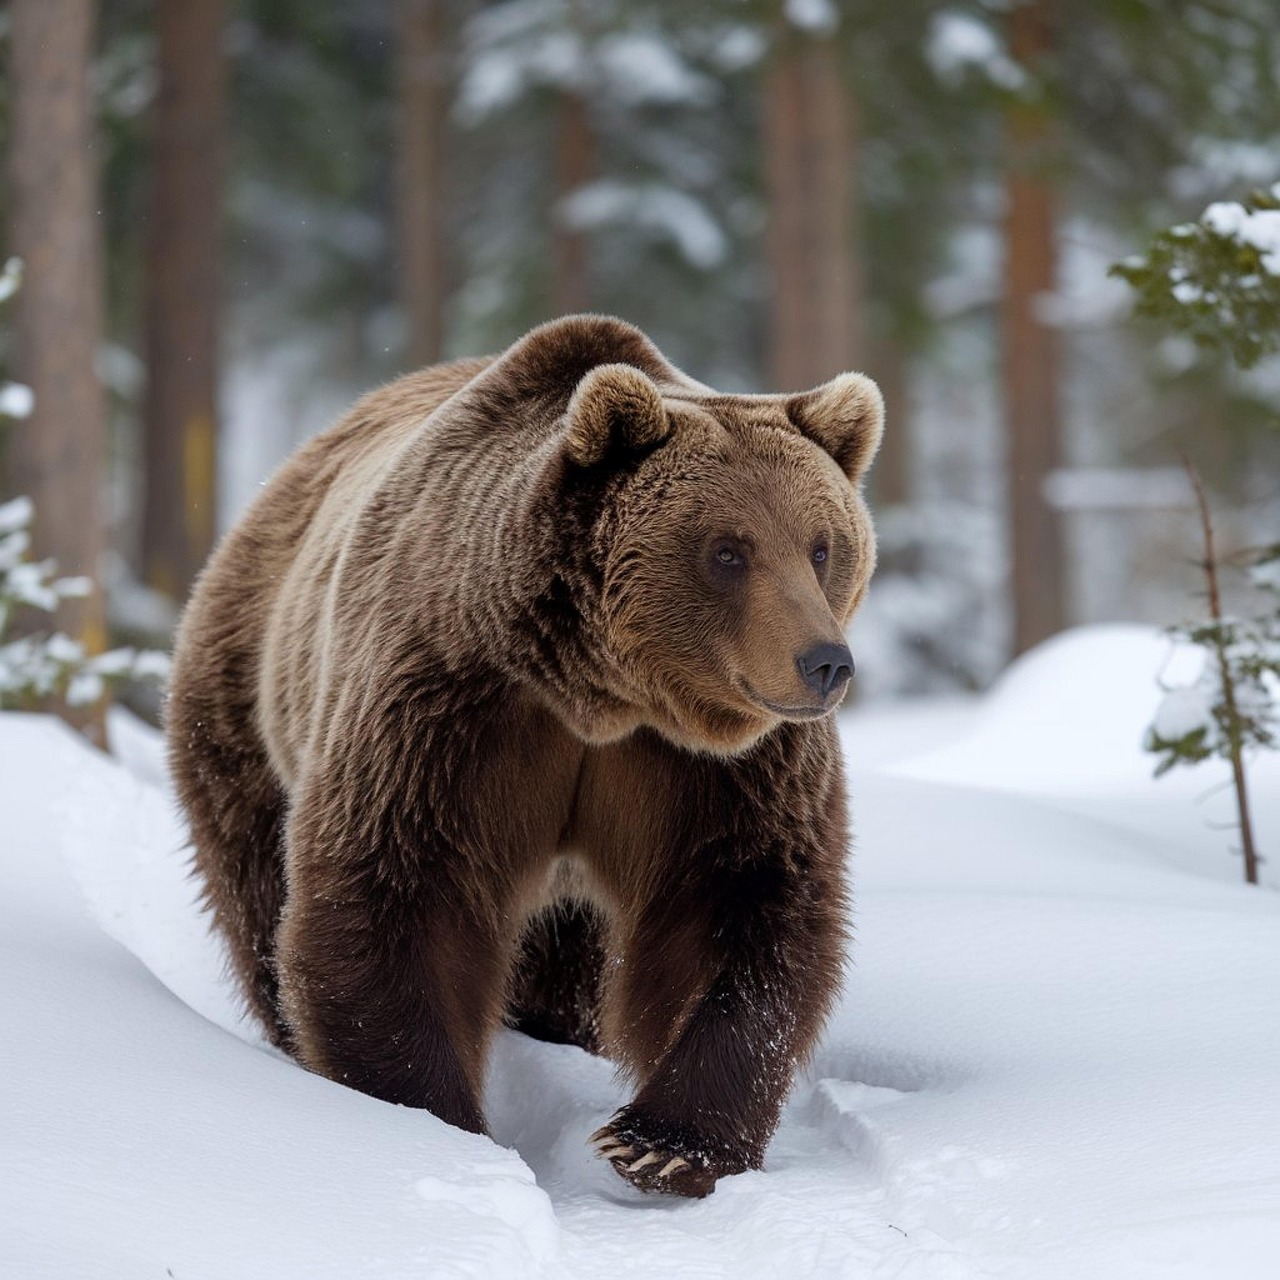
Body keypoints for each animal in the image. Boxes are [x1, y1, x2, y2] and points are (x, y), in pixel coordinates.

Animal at [167, 314, 883, 1199]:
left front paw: (661, 1143)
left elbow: (739, 906)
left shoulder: (718, 767)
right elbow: (400, 891)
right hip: (243, 703)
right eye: (728, 550)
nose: (825, 663)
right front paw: (431, 1123)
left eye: (822, 546)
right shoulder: (452, 711)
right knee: (256, 887)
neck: (601, 694)